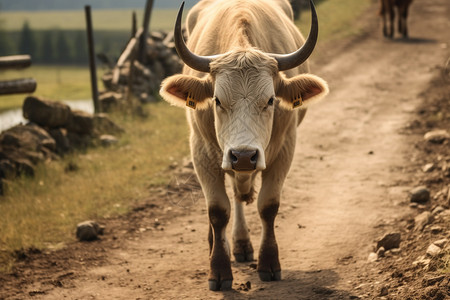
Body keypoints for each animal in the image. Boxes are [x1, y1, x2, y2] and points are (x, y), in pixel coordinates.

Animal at [160, 0, 328, 290]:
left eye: (271, 100)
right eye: (217, 100)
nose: (243, 156)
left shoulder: (285, 149)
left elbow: (268, 206)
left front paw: (269, 263)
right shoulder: (201, 151)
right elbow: (217, 210)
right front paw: (218, 269)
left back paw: (240, 245)